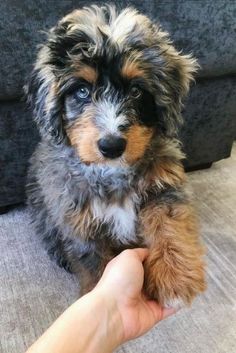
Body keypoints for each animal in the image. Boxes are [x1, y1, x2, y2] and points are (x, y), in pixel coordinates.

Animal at [26, 4, 206, 308]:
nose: (111, 145)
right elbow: (93, 265)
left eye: (135, 90)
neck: (112, 172)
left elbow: (169, 223)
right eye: (82, 91)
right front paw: (98, 297)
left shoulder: (164, 186)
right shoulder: (77, 217)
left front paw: (174, 277)